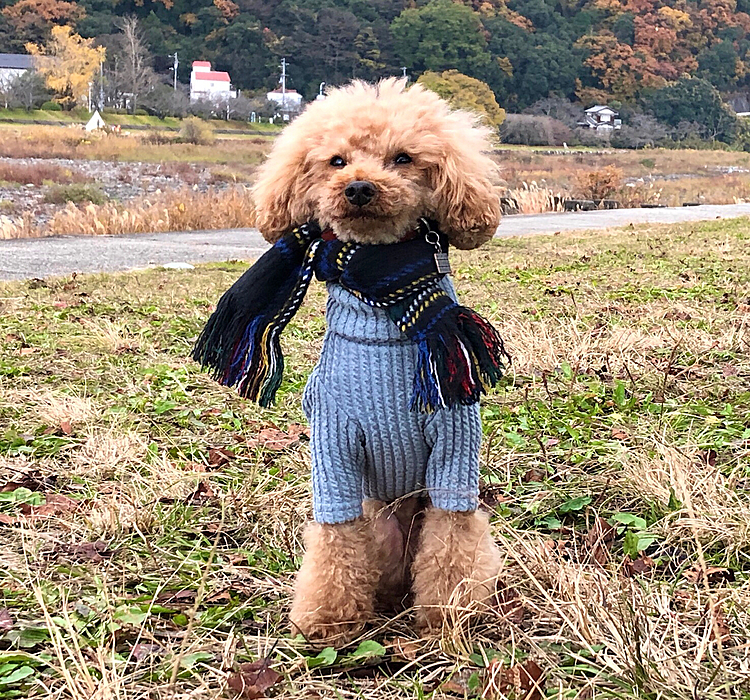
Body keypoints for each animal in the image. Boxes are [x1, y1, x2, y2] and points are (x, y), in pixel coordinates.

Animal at [197, 78, 508, 644]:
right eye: (336, 161)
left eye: (403, 158)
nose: (360, 187)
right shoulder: (334, 445)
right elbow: (334, 542)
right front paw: (327, 621)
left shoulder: (453, 448)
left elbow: (452, 542)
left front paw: (448, 616)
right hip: (378, 524)